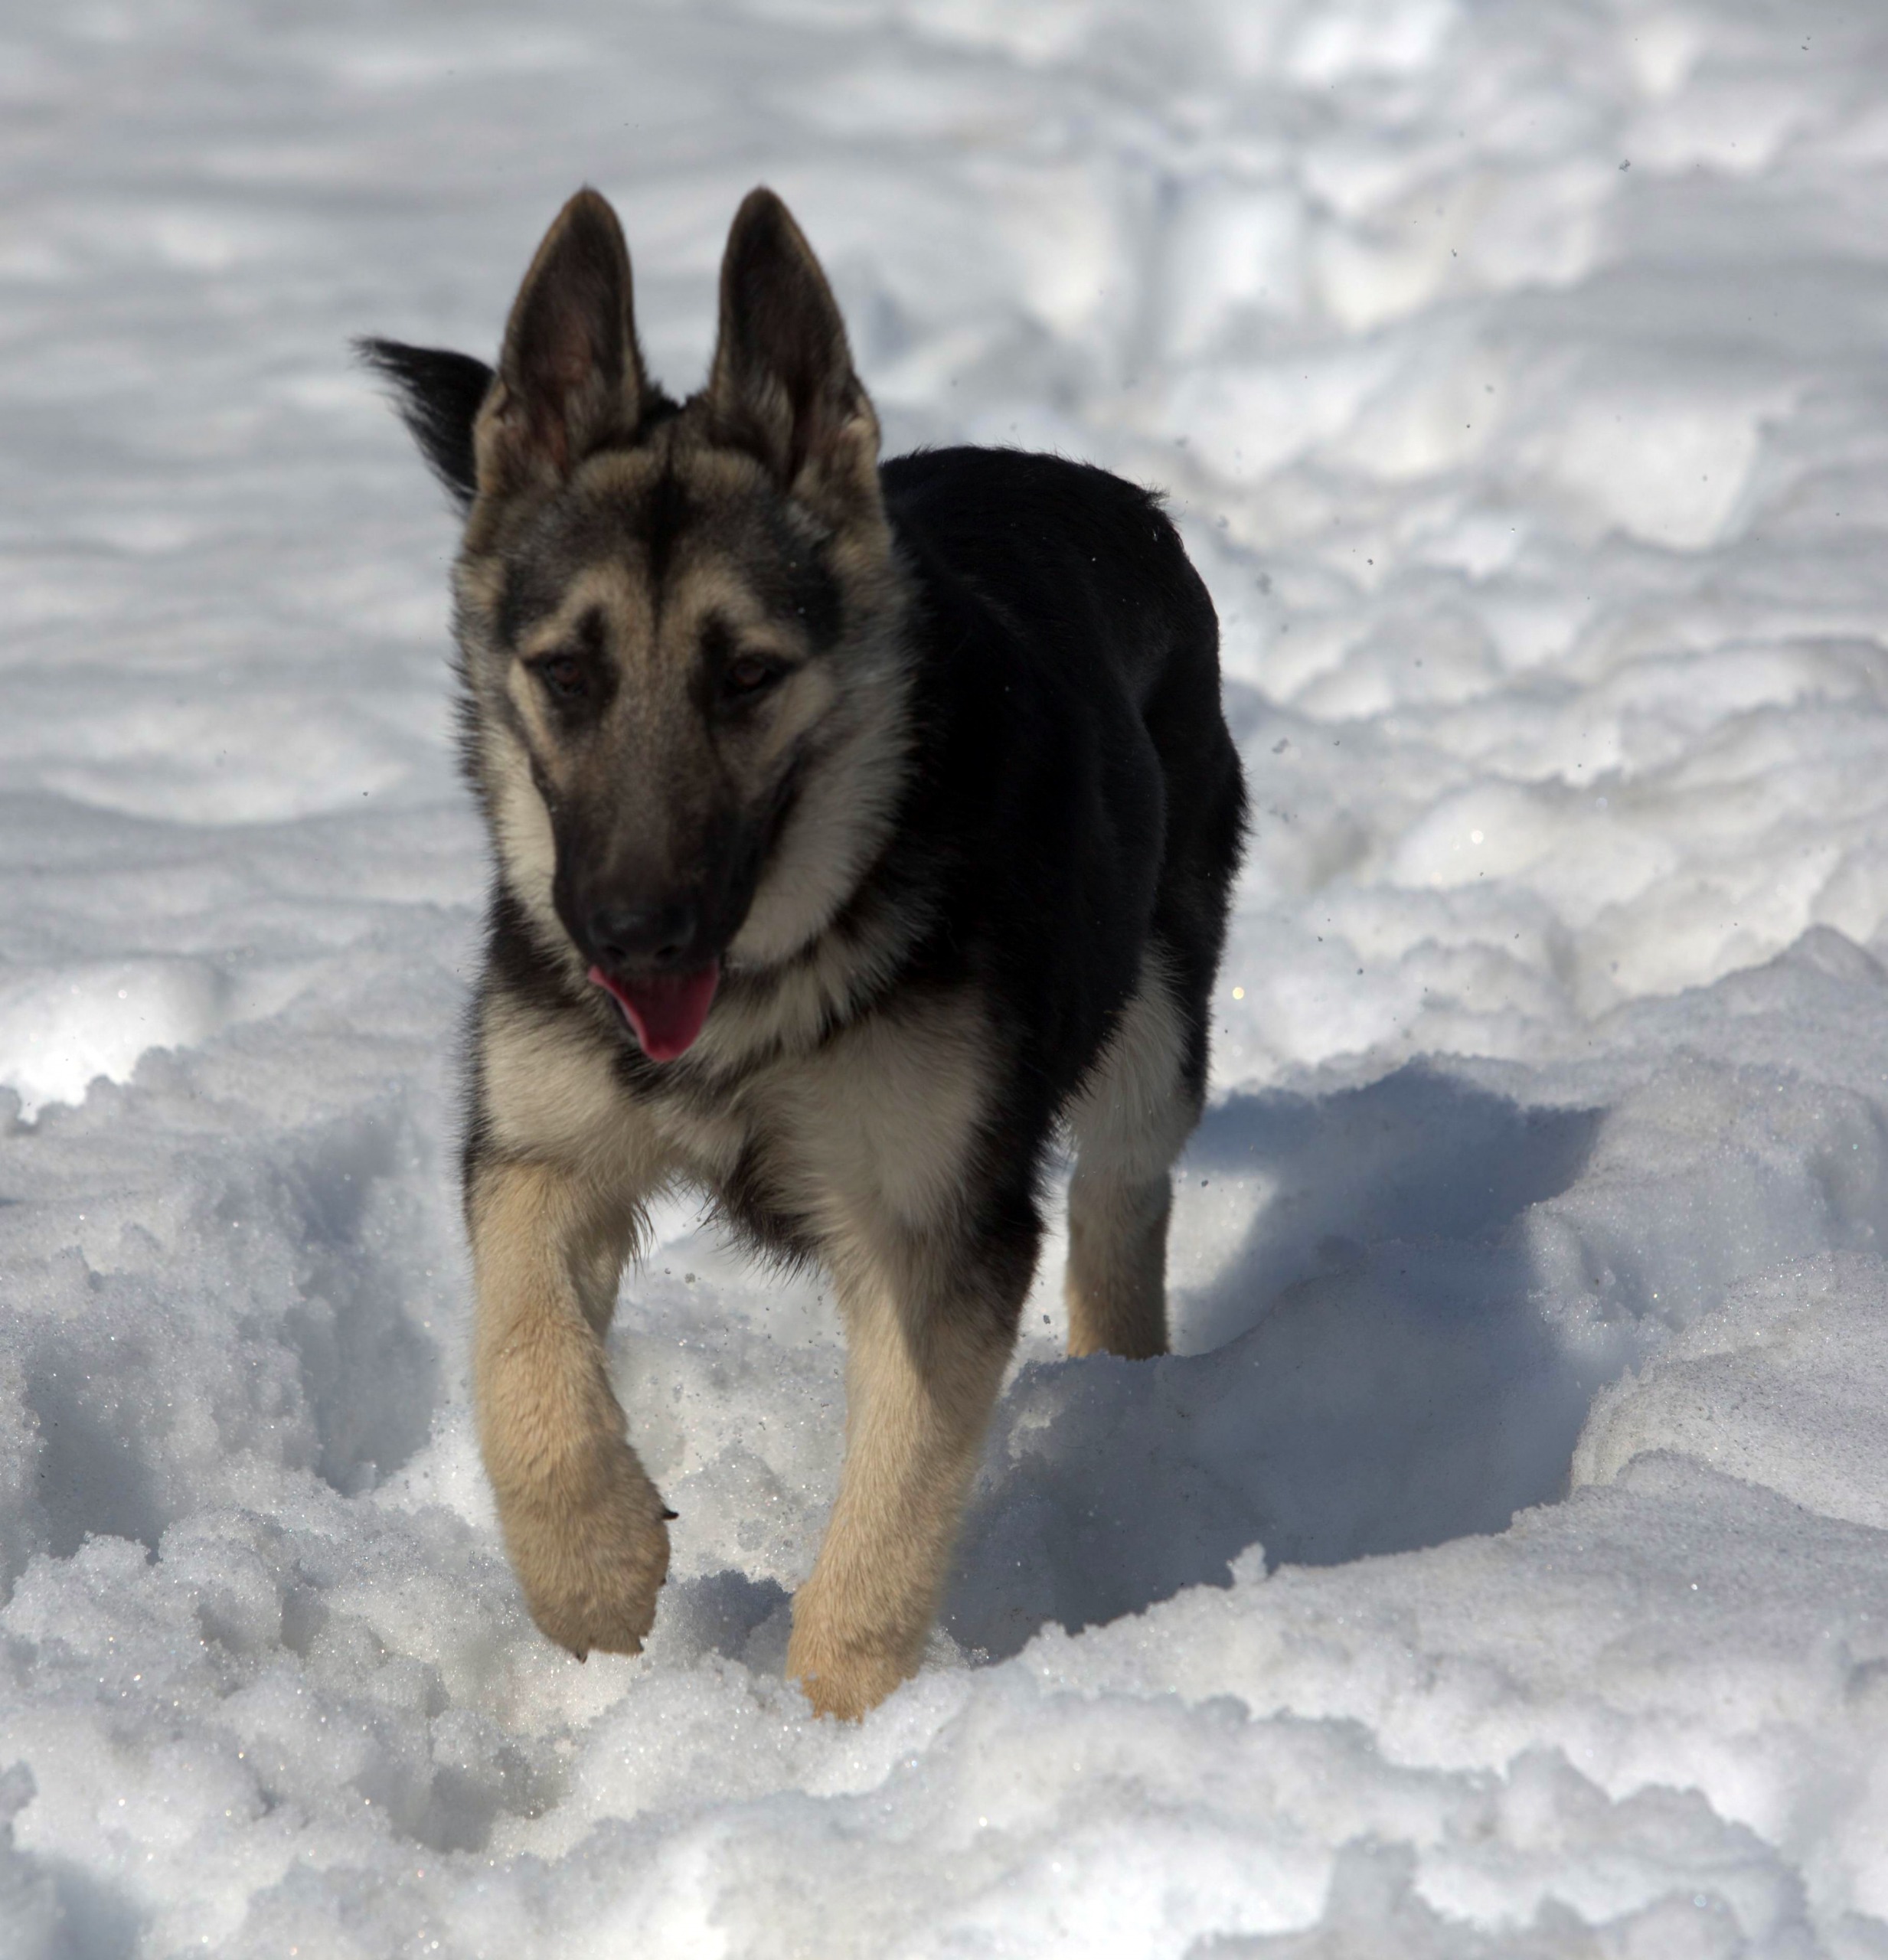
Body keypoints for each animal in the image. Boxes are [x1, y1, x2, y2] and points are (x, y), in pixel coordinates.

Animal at [364, 187, 1254, 1717]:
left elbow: (890, 1513)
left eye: (748, 678)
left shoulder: (932, 1229)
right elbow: (523, 1366)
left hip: (1154, 1015)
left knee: (1123, 1198)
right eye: (567, 674)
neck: (774, 971)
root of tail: (1114, 499)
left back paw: (1125, 1394)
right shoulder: (540, 1154)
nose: (628, 937)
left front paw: (835, 1729)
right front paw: (594, 1575)